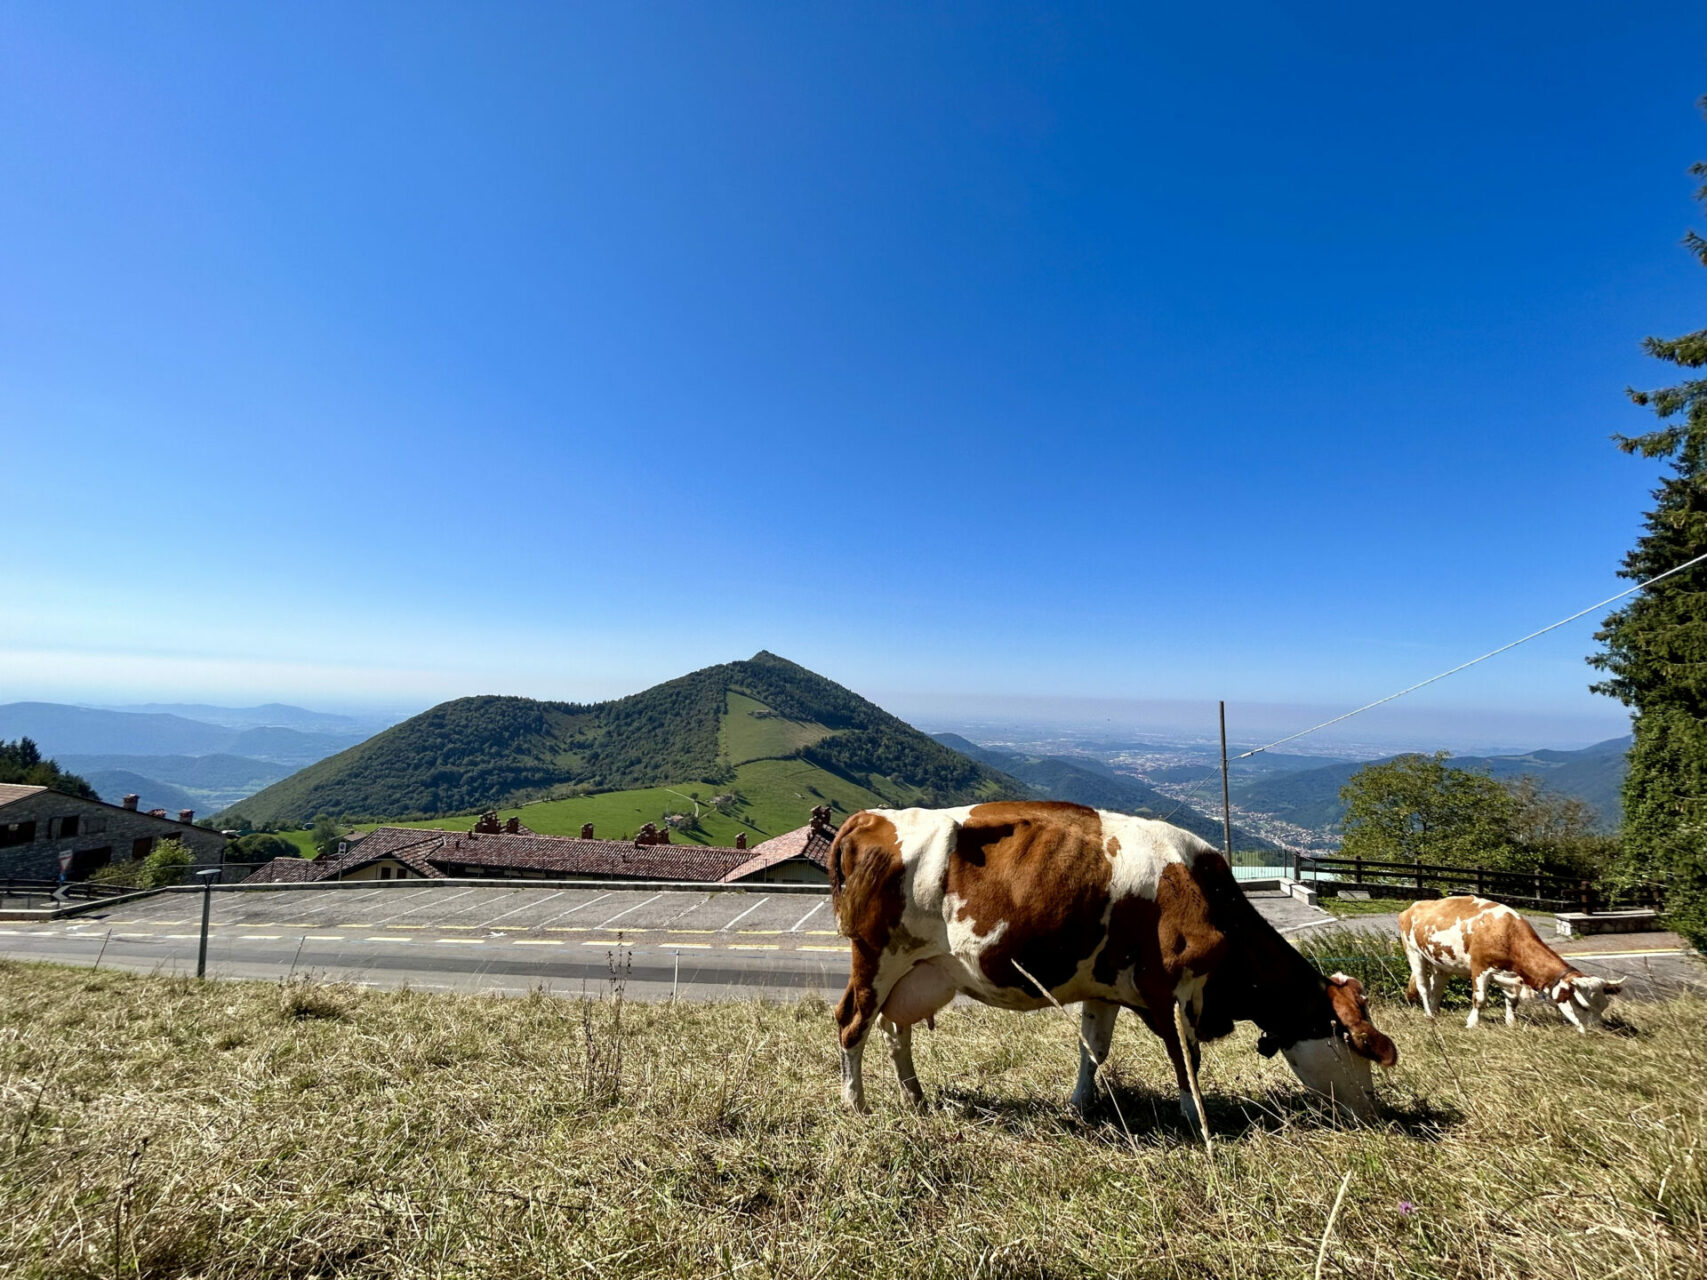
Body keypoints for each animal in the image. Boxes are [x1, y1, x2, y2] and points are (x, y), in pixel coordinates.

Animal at [829, 802, 1398, 1125]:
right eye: (1357, 1047)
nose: (1373, 1111)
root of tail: (872, 817)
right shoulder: (1170, 990)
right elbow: (1185, 1058)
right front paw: (1198, 1119)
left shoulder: (1103, 990)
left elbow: (1093, 1050)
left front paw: (1081, 1106)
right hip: (876, 958)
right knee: (853, 1024)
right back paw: (856, 1104)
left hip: (918, 972)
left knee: (895, 1031)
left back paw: (916, 1097)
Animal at [1399, 896, 1624, 1032]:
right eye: (1584, 1006)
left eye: (1604, 1006)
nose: (1596, 1032)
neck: (1507, 932)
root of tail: (1412, 907)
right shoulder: (1480, 968)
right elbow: (1480, 999)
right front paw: (1472, 1023)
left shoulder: (1508, 975)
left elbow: (1512, 999)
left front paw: (1510, 1022)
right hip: (1413, 952)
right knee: (1423, 986)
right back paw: (1429, 1014)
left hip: (1441, 963)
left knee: (1437, 987)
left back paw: (1436, 1012)